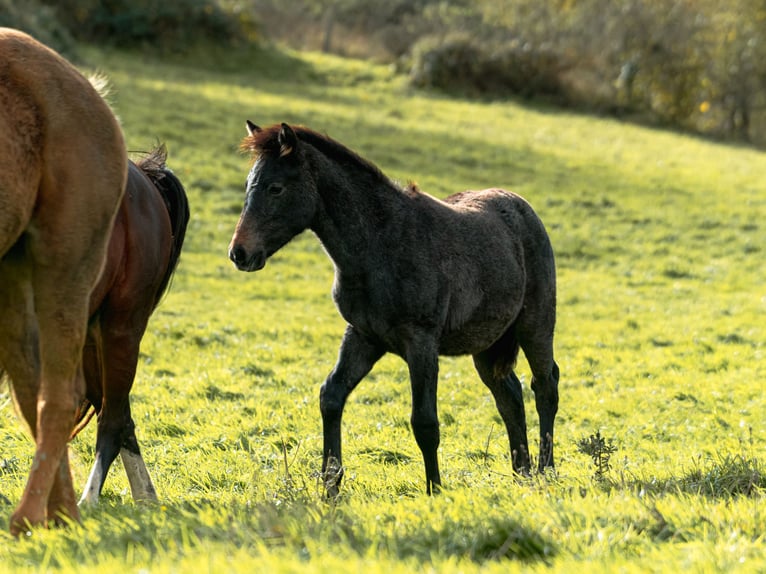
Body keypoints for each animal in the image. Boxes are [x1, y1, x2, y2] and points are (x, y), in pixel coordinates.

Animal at [228, 122, 560, 496]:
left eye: (276, 188)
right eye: (248, 186)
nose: (240, 253)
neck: (380, 244)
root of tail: (521, 206)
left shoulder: (421, 341)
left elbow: (425, 421)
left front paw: (434, 491)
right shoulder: (363, 336)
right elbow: (331, 396)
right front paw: (330, 487)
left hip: (535, 324)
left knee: (545, 386)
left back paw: (545, 471)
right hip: (486, 343)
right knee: (510, 396)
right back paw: (522, 474)